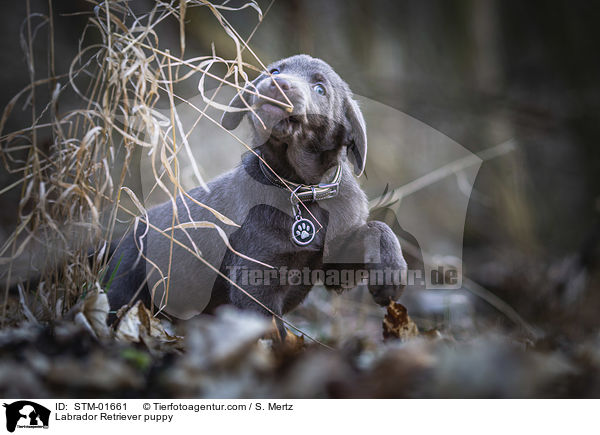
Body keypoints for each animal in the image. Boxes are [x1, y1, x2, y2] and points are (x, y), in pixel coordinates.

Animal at [106, 54, 408, 326]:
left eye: (320, 89)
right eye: (274, 71)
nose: (277, 84)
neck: (301, 190)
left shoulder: (337, 264)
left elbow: (378, 228)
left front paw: (391, 274)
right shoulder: (254, 282)